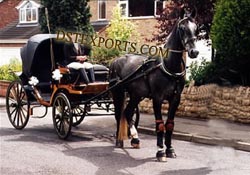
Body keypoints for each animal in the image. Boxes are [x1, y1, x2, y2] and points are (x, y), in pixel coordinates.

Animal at [109, 8, 199, 161]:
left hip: (136, 95)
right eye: (182, 28)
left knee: (128, 112)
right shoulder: (157, 98)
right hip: (118, 92)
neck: (168, 65)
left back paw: (135, 139)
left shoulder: (176, 98)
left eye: (196, 28)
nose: (194, 52)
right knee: (118, 114)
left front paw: (170, 149)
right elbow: (160, 125)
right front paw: (160, 151)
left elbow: (170, 124)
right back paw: (119, 141)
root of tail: (116, 60)